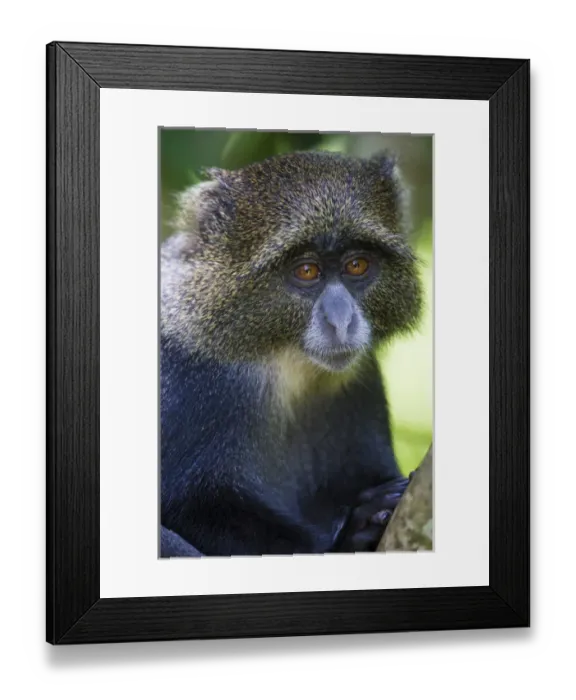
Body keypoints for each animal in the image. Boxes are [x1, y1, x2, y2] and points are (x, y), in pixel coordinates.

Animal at [159, 150, 424, 557]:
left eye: (356, 265)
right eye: (307, 271)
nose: (341, 321)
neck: (282, 365)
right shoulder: (187, 378)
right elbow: (188, 506)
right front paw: (352, 534)